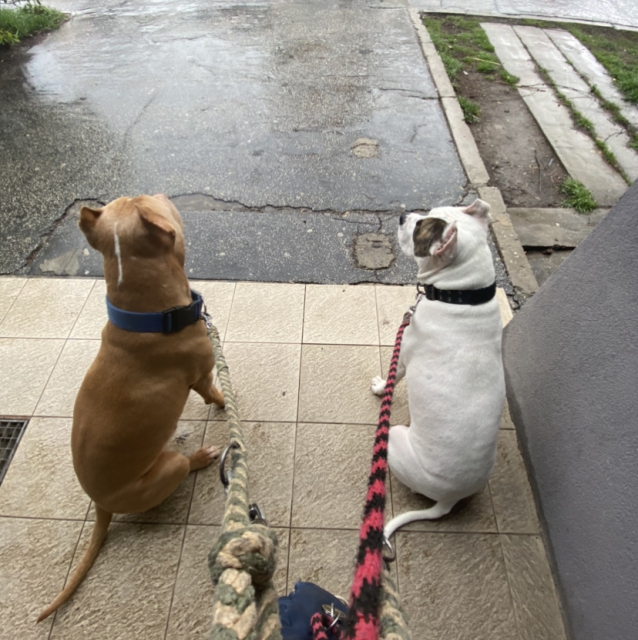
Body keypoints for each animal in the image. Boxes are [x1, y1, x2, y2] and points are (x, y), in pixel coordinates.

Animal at [38, 194, 225, 621]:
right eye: (149, 200)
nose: (161, 192)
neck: (149, 318)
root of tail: (101, 505)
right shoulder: (201, 377)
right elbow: (215, 394)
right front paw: (226, 402)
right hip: (166, 470)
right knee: (181, 465)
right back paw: (199, 458)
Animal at [372, 199, 505, 538]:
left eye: (420, 228)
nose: (403, 216)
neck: (463, 298)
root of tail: (448, 500)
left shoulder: (404, 355)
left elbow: (393, 377)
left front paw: (380, 387)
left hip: (394, 437)